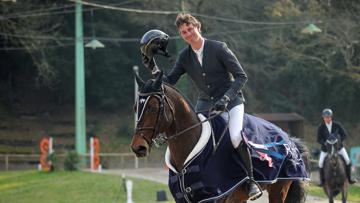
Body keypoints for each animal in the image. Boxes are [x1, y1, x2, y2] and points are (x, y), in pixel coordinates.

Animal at [131, 71, 310, 201]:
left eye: (154, 108)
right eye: (135, 108)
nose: (138, 147)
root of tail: (289, 139)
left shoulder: (217, 197)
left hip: (279, 189)